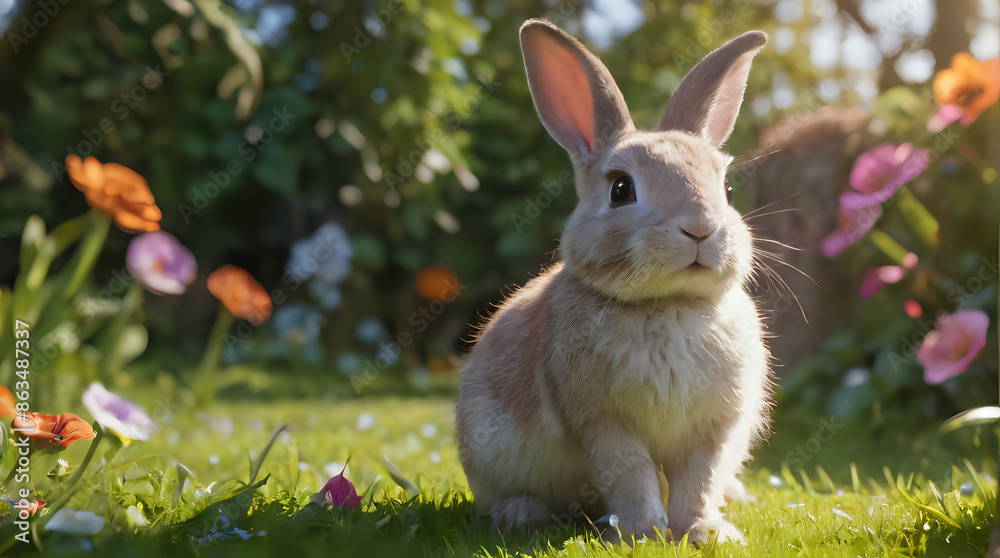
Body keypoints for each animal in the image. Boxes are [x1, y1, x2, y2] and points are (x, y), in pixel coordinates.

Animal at [456, 18, 773, 545]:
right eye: (621, 190)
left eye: (726, 188)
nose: (701, 228)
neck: (668, 305)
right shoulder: (601, 420)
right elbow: (630, 472)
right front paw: (643, 531)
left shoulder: (714, 426)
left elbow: (699, 480)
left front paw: (706, 532)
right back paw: (520, 514)